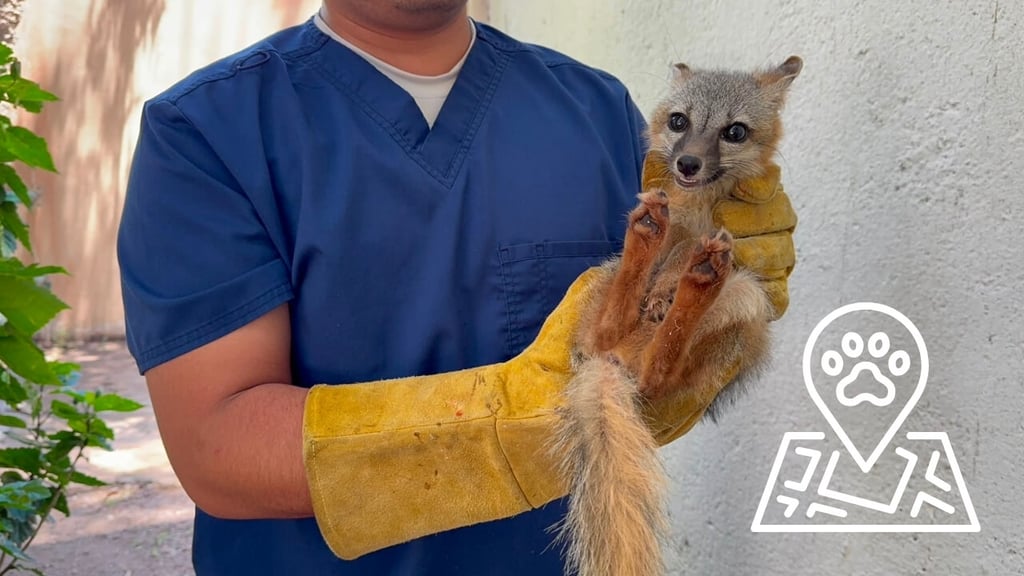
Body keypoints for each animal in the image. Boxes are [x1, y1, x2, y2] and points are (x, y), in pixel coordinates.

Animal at [549, 56, 803, 576]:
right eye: (679, 122)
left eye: (735, 132)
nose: (687, 163)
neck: (701, 210)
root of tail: (610, 366)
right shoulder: (685, 228)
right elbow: (675, 250)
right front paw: (663, 270)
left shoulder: (720, 240)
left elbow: (687, 255)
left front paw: (676, 282)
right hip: (608, 290)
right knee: (610, 327)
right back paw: (649, 238)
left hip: (744, 300)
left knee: (658, 369)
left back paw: (696, 281)